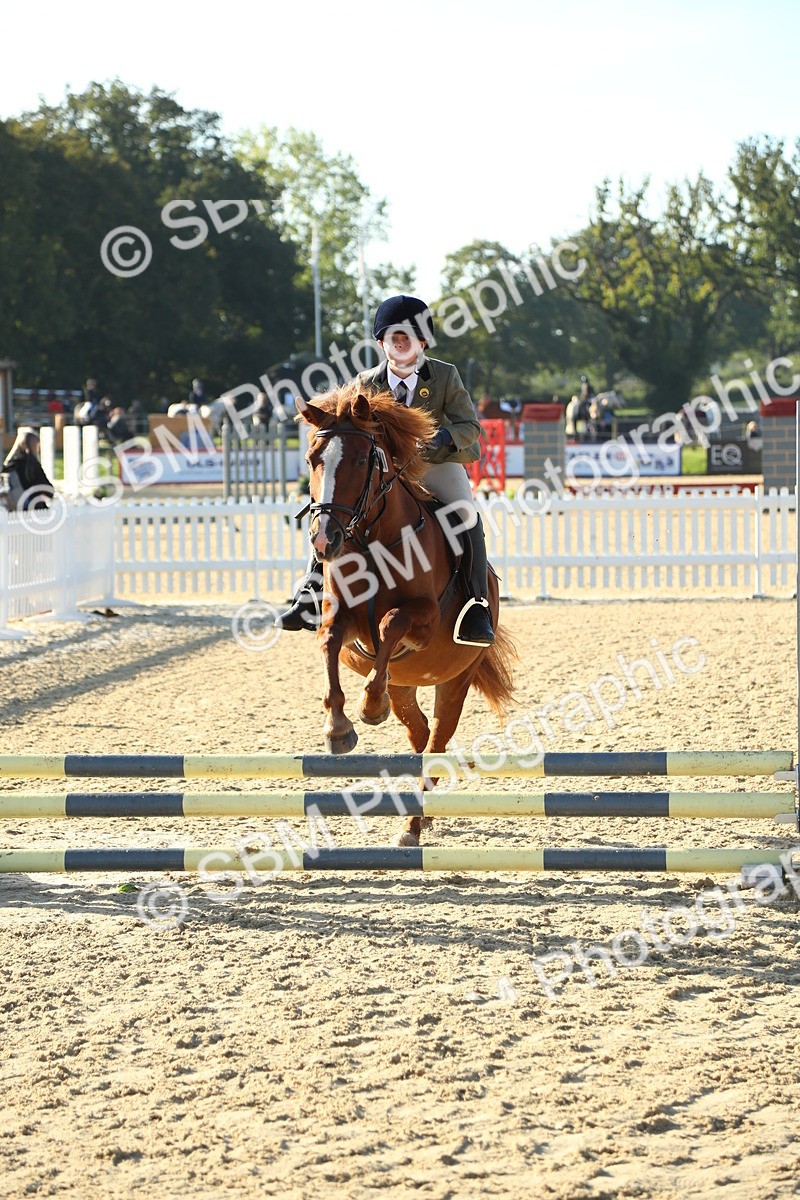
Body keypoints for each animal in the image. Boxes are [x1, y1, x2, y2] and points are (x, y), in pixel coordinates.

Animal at [295, 382, 517, 845]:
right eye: (312, 459)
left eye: (362, 461)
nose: (325, 541)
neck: (374, 542)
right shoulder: (343, 621)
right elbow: (329, 641)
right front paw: (338, 729)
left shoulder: (424, 620)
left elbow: (391, 620)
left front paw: (369, 706)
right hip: (407, 683)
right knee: (418, 734)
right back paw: (421, 813)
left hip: (456, 679)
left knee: (436, 741)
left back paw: (412, 825)